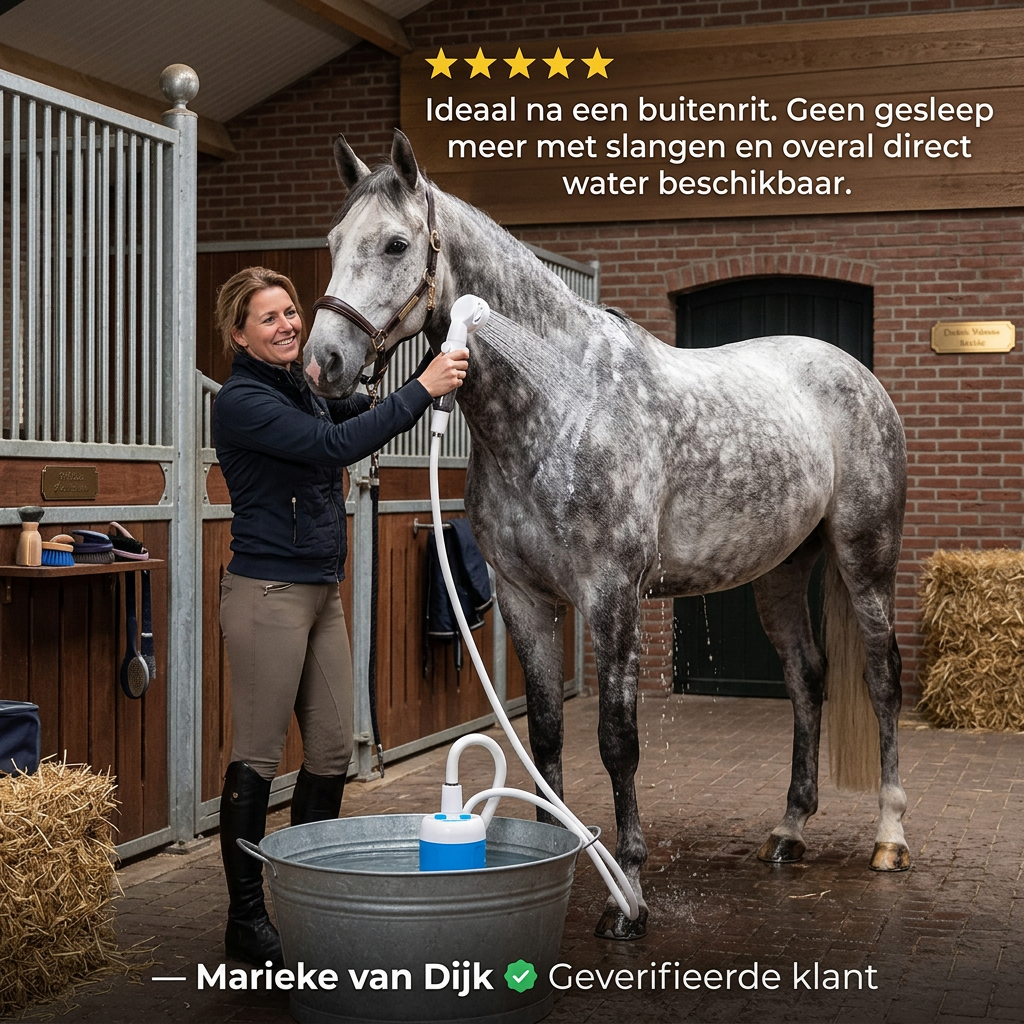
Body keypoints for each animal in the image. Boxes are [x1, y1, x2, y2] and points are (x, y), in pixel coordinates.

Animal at [302, 129, 910, 940]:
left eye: (397, 244)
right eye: (334, 242)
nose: (324, 364)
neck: (560, 396)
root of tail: (856, 375)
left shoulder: (612, 595)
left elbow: (618, 742)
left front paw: (630, 893)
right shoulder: (525, 599)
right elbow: (546, 738)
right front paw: (554, 861)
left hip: (865, 558)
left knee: (881, 678)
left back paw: (890, 836)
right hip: (781, 570)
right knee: (806, 677)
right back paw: (788, 829)